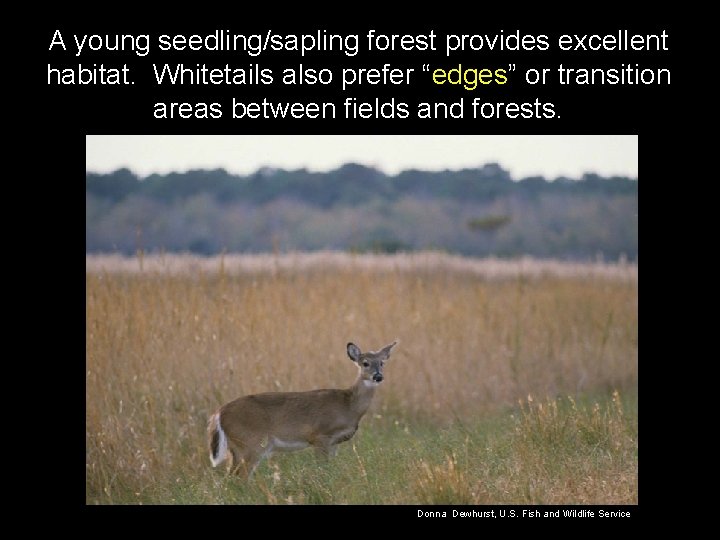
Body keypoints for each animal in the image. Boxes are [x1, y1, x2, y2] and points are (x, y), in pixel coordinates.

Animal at [208, 342, 396, 476]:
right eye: (365, 363)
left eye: (382, 363)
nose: (378, 376)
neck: (348, 406)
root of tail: (219, 413)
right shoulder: (320, 436)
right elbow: (323, 469)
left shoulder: (334, 443)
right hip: (251, 442)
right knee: (241, 476)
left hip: (236, 447)